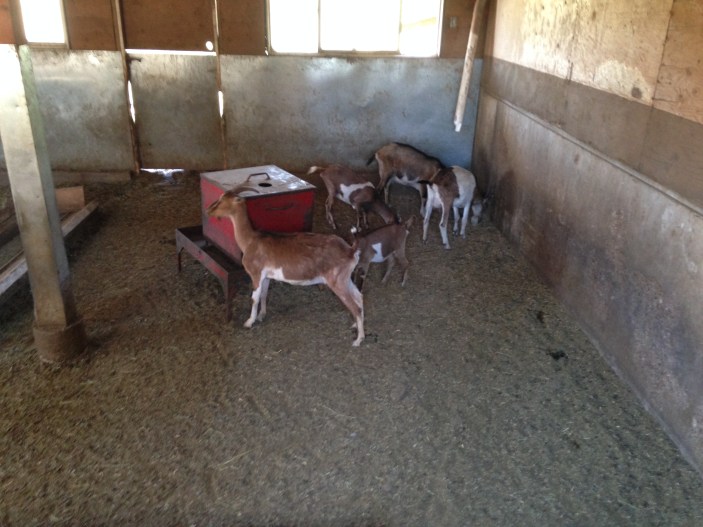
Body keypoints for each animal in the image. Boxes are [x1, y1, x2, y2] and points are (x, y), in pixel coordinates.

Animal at [206, 190, 365, 346]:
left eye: (222, 200)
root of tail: (350, 250)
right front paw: (261, 315)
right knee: (359, 296)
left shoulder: (256, 273)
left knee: (354, 306)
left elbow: (254, 298)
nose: (209, 211)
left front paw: (249, 322)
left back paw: (358, 340)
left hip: (337, 280)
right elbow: (264, 294)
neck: (250, 241)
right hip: (345, 278)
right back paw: (355, 326)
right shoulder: (266, 276)